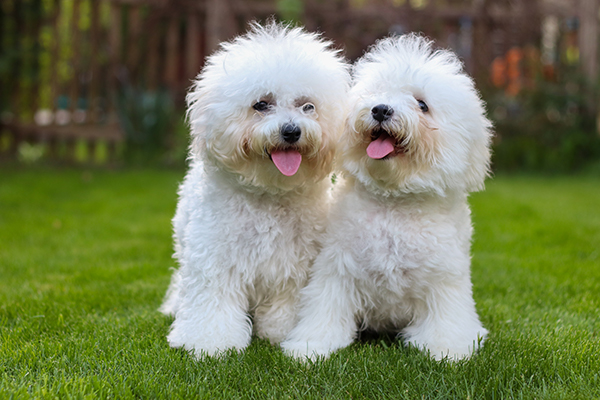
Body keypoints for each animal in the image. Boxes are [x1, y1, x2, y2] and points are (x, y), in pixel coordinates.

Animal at [159, 23, 350, 358]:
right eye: (261, 104)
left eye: (308, 106)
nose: (291, 131)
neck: (268, 193)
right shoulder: (215, 260)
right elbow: (212, 304)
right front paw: (209, 342)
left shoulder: (294, 266)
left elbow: (286, 305)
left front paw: (280, 333)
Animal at [282, 33, 492, 360]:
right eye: (377, 93)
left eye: (422, 104)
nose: (380, 109)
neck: (393, 200)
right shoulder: (337, 269)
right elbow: (325, 310)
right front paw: (311, 346)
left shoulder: (444, 278)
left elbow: (446, 316)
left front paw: (445, 348)